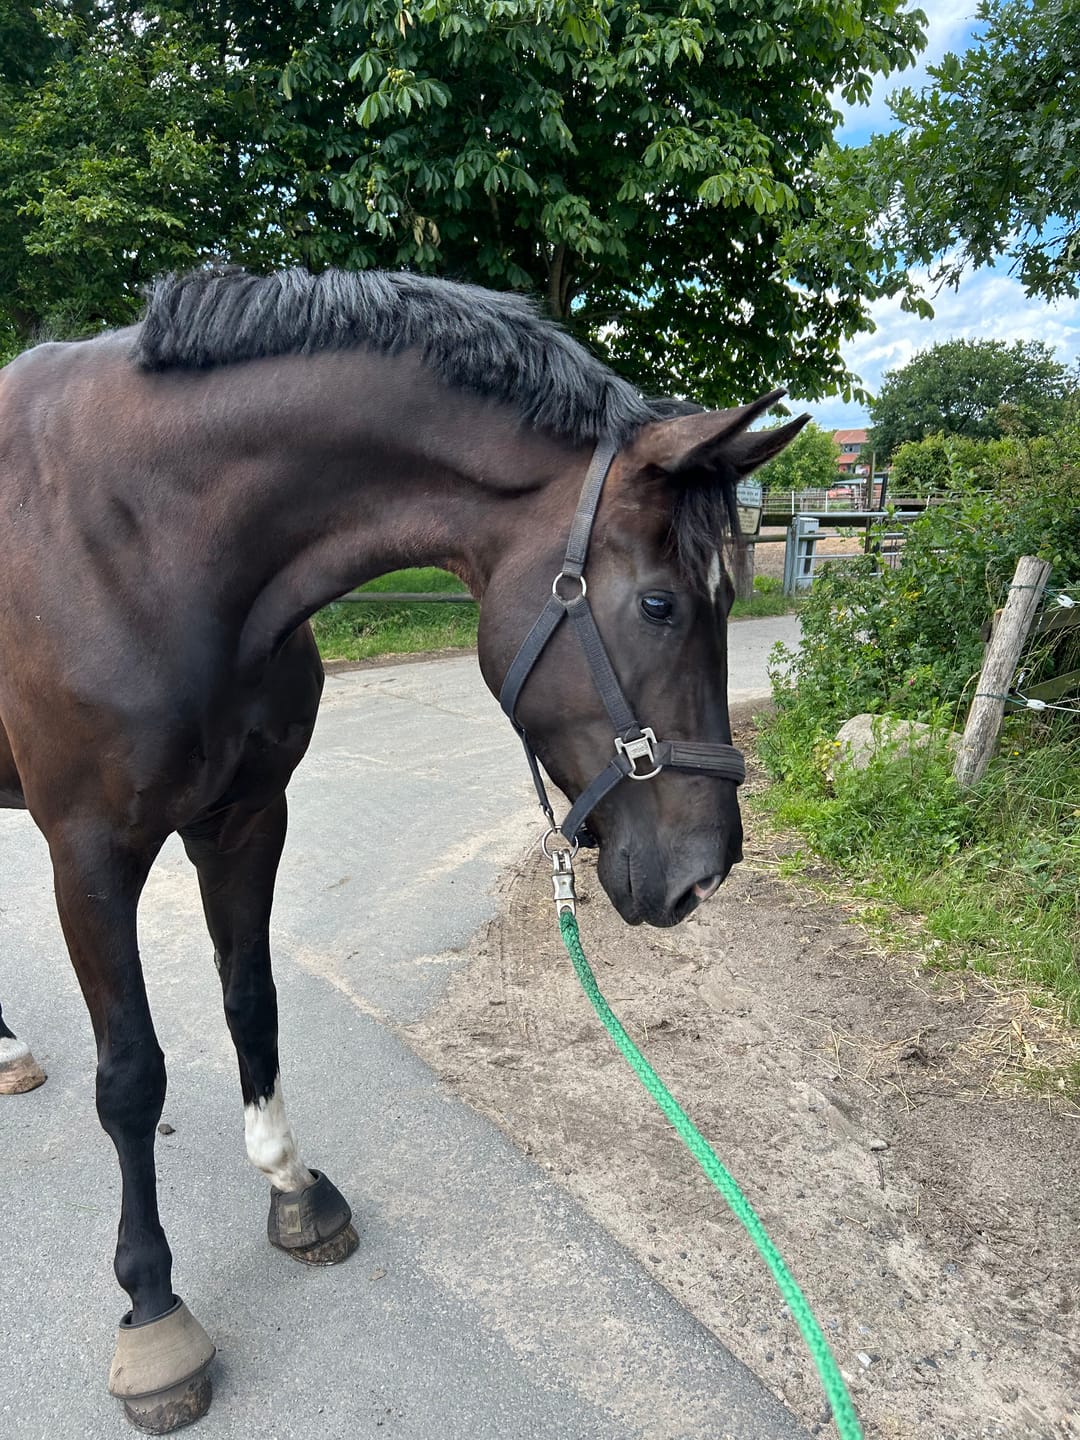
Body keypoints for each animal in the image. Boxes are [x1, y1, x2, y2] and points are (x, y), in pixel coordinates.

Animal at [0, 266, 806, 1431]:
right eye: (659, 603)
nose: (704, 874)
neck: (138, 539)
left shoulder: (248, 820)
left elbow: (253, 1003)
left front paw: (292, 1186)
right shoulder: (89, 855)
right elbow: (132, 1079)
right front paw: (152, 1311)